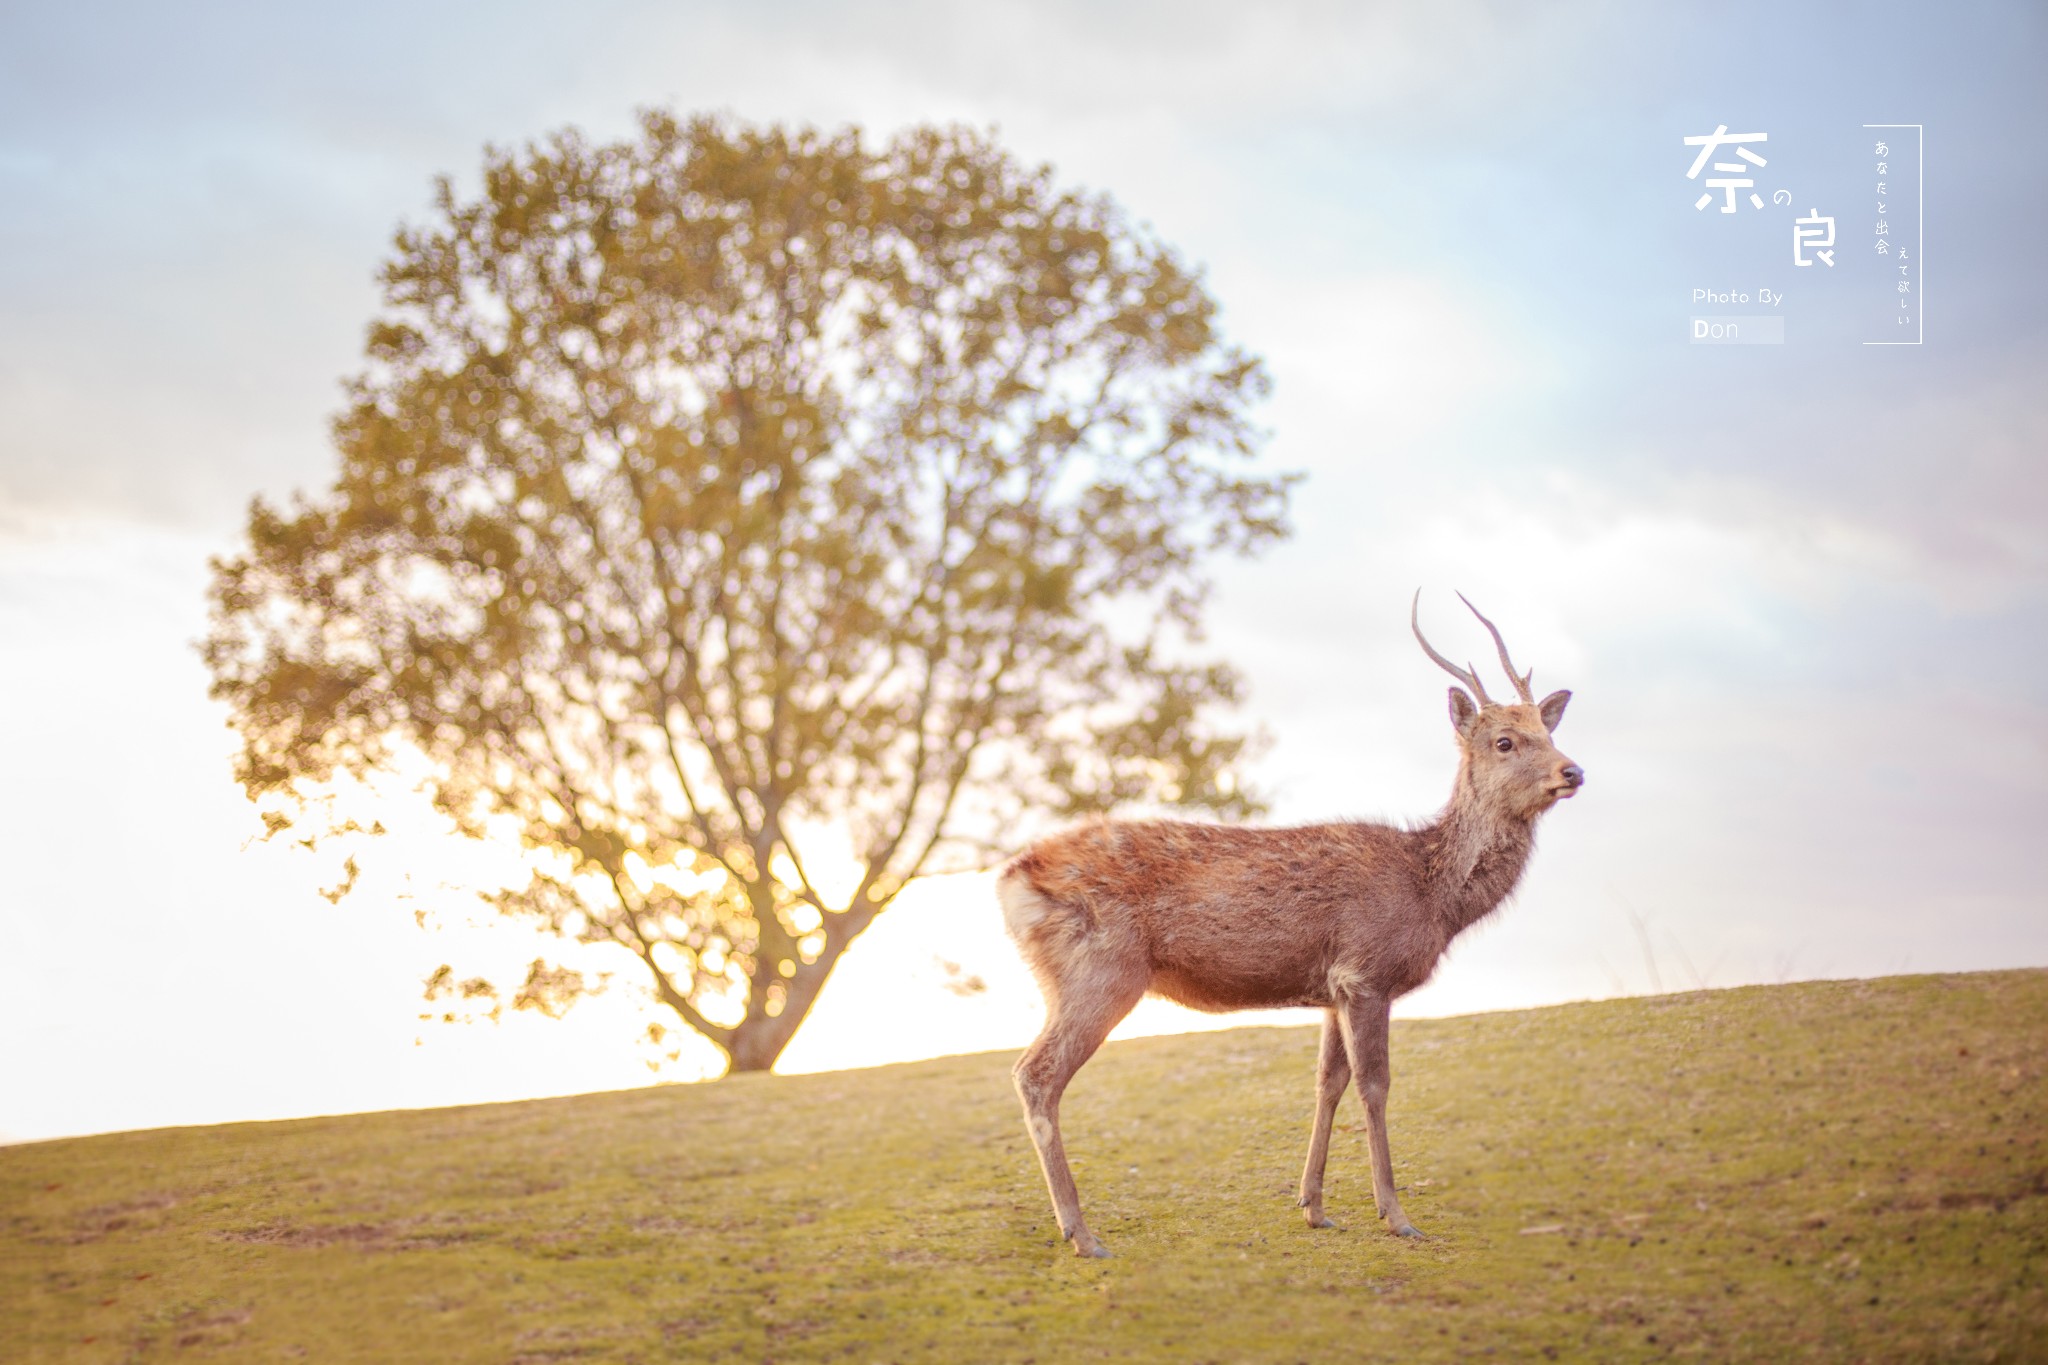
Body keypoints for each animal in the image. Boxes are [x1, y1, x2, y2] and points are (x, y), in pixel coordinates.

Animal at [991, 593, 1581, 1252]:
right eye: (1505, 741)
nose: (1572, 772)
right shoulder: (1366, 971)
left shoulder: (1330, 987)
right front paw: (1396, 1215)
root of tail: (1011, 880)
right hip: (1098, 970)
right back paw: (1081, 1232)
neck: (1432, 896)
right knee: (1035, 1074)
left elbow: (1328, 1083)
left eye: (1549, 731)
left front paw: (1314, 1206)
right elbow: (1376, 1085)